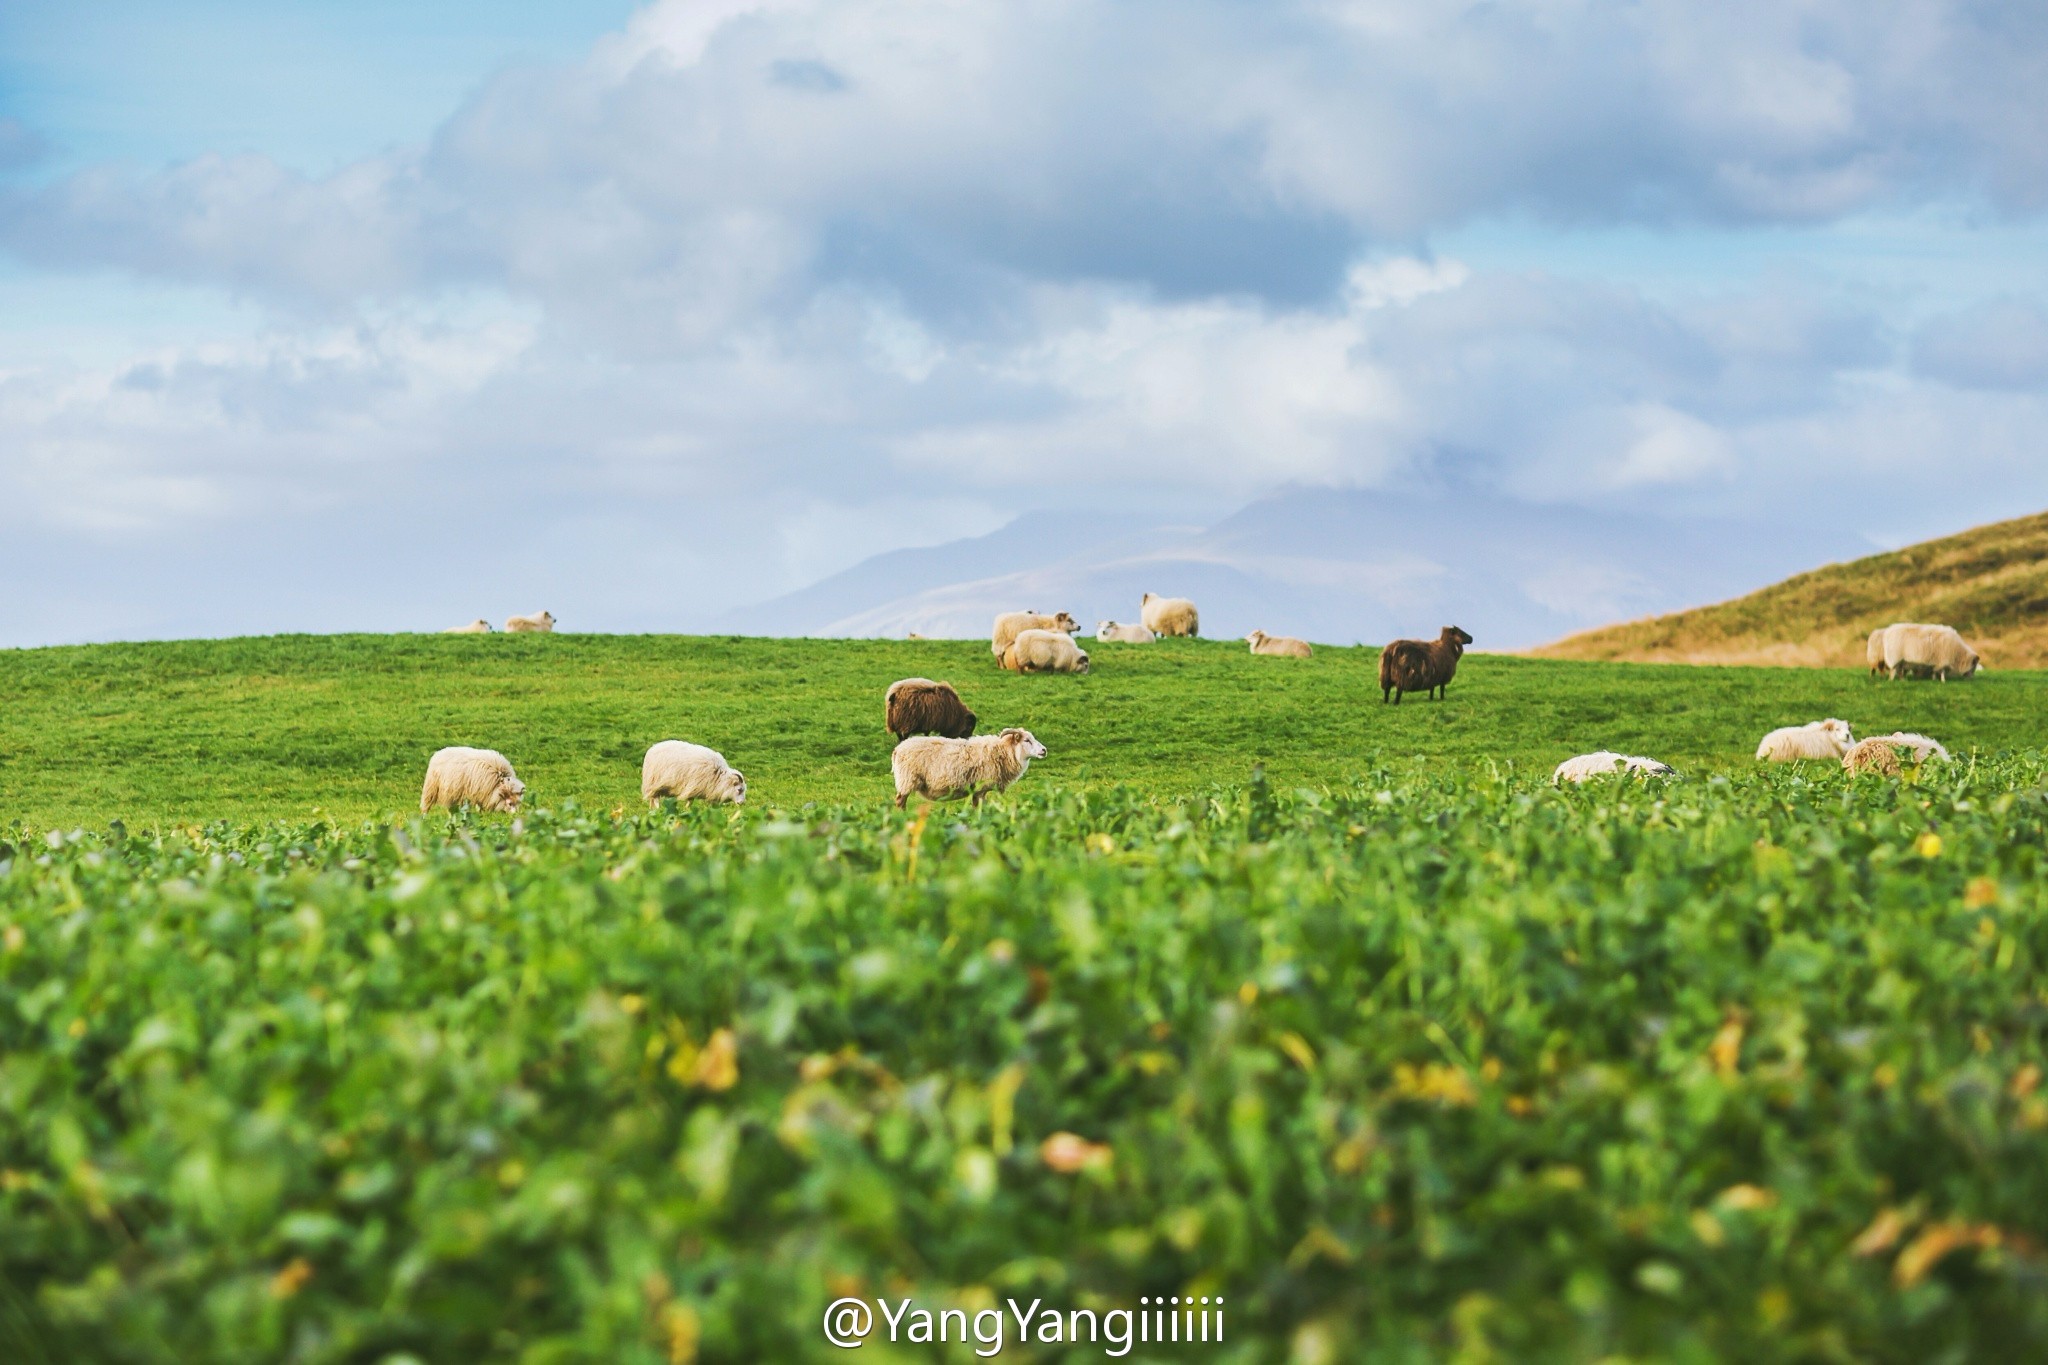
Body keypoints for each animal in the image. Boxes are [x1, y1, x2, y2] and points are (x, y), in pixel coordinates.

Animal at [892, 724, 1048, 810]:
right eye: (1027, 740)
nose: (1044, 750)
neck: (1003, 752)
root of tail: (897, 750)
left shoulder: (977, 790)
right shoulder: (980, 788)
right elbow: (978, 808)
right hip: (907, 779)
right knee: (900, 802)